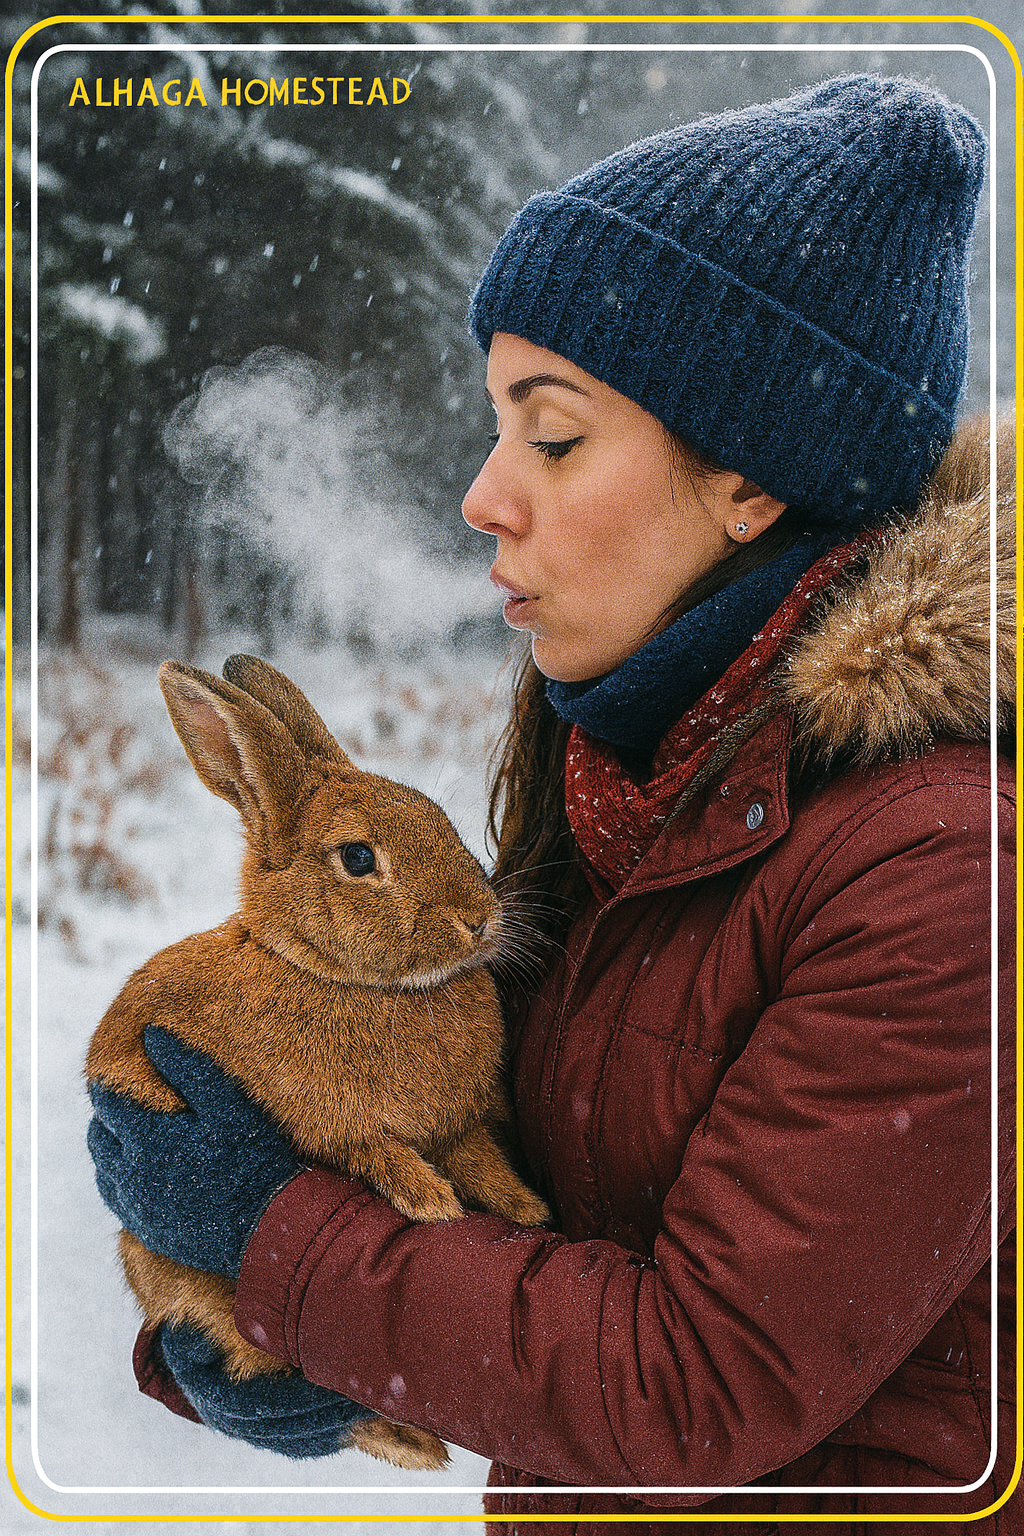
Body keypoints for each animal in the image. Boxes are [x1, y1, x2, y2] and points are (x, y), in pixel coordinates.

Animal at [86, 654, 550, 1472]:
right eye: (359, 858)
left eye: (441, 817)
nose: (479, 919)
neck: (344, 978)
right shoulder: (337, 1128)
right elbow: (374, 1149)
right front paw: (430, 1201)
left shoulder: (459, 1125)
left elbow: (477, 1153)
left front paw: (522, 1206)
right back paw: (409, 1443)